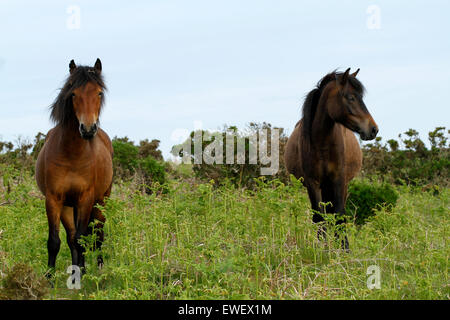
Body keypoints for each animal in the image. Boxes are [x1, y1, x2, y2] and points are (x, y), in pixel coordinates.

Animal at [35, 58, 113, 274]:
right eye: (73, 93)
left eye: (99, 92)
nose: (87, 129)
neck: (72, 155)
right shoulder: (54, 199)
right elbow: (55, 241)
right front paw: (50, 276)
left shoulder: (86, 198)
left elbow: (82, 239)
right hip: (69, 207)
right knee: (72, 237)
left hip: (100, 201)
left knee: (97, 235)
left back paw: (98, 268)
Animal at [286, 68, 378, 250]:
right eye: (350, 97)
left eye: (361, 97)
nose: (373, 129)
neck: (322, 144)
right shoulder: (312, 182)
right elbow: (319, 217)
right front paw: (322, 248)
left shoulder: (338, 180)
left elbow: (340, 215)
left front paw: (344, 248)